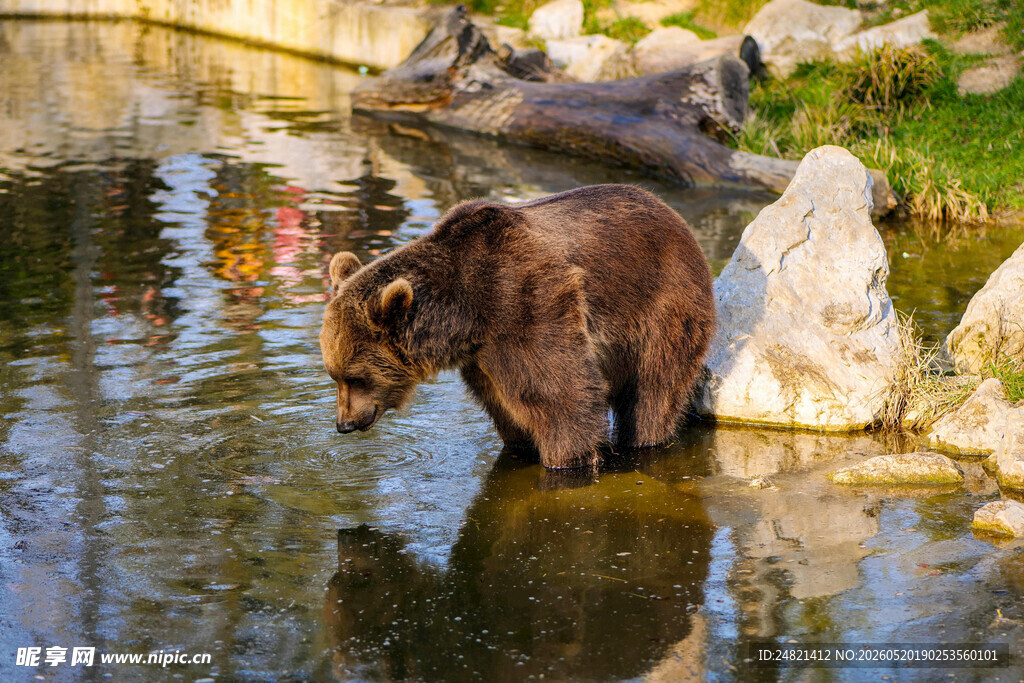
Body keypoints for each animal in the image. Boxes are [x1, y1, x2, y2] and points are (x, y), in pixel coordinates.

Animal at [320, 184, 715, 469]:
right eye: (335, 376)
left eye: (356, 377)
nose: (344, 424)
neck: (464, 313)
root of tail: (670, 211)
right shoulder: (481, 354)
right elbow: (505, 403)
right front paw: (522, 444)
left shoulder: (523, 301)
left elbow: (559, 392)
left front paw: (570, 457)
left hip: (660, 303)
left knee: (654, 385)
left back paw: (645, 436)